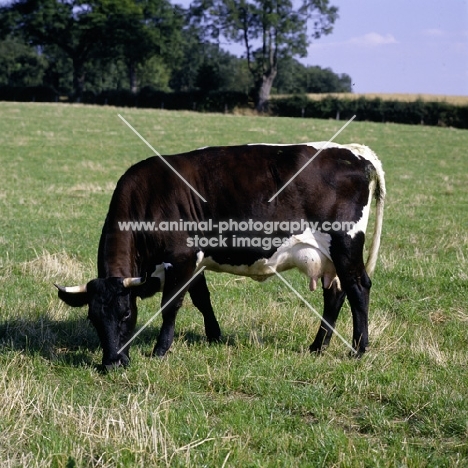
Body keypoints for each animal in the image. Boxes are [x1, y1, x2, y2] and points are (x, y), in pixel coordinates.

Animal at [55, 141, 384, 368]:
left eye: (126, 313)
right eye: (93, 318)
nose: (112, 362)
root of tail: (355, 152)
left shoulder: (181, 259)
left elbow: (171, 306)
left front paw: (160, 350)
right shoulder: (194, 263)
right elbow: (202, 299)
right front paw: (214, 336)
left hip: (345, 245)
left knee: (358, 288)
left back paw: (358, 348)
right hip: (329, 259)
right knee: (335, 294)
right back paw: (318, 346)